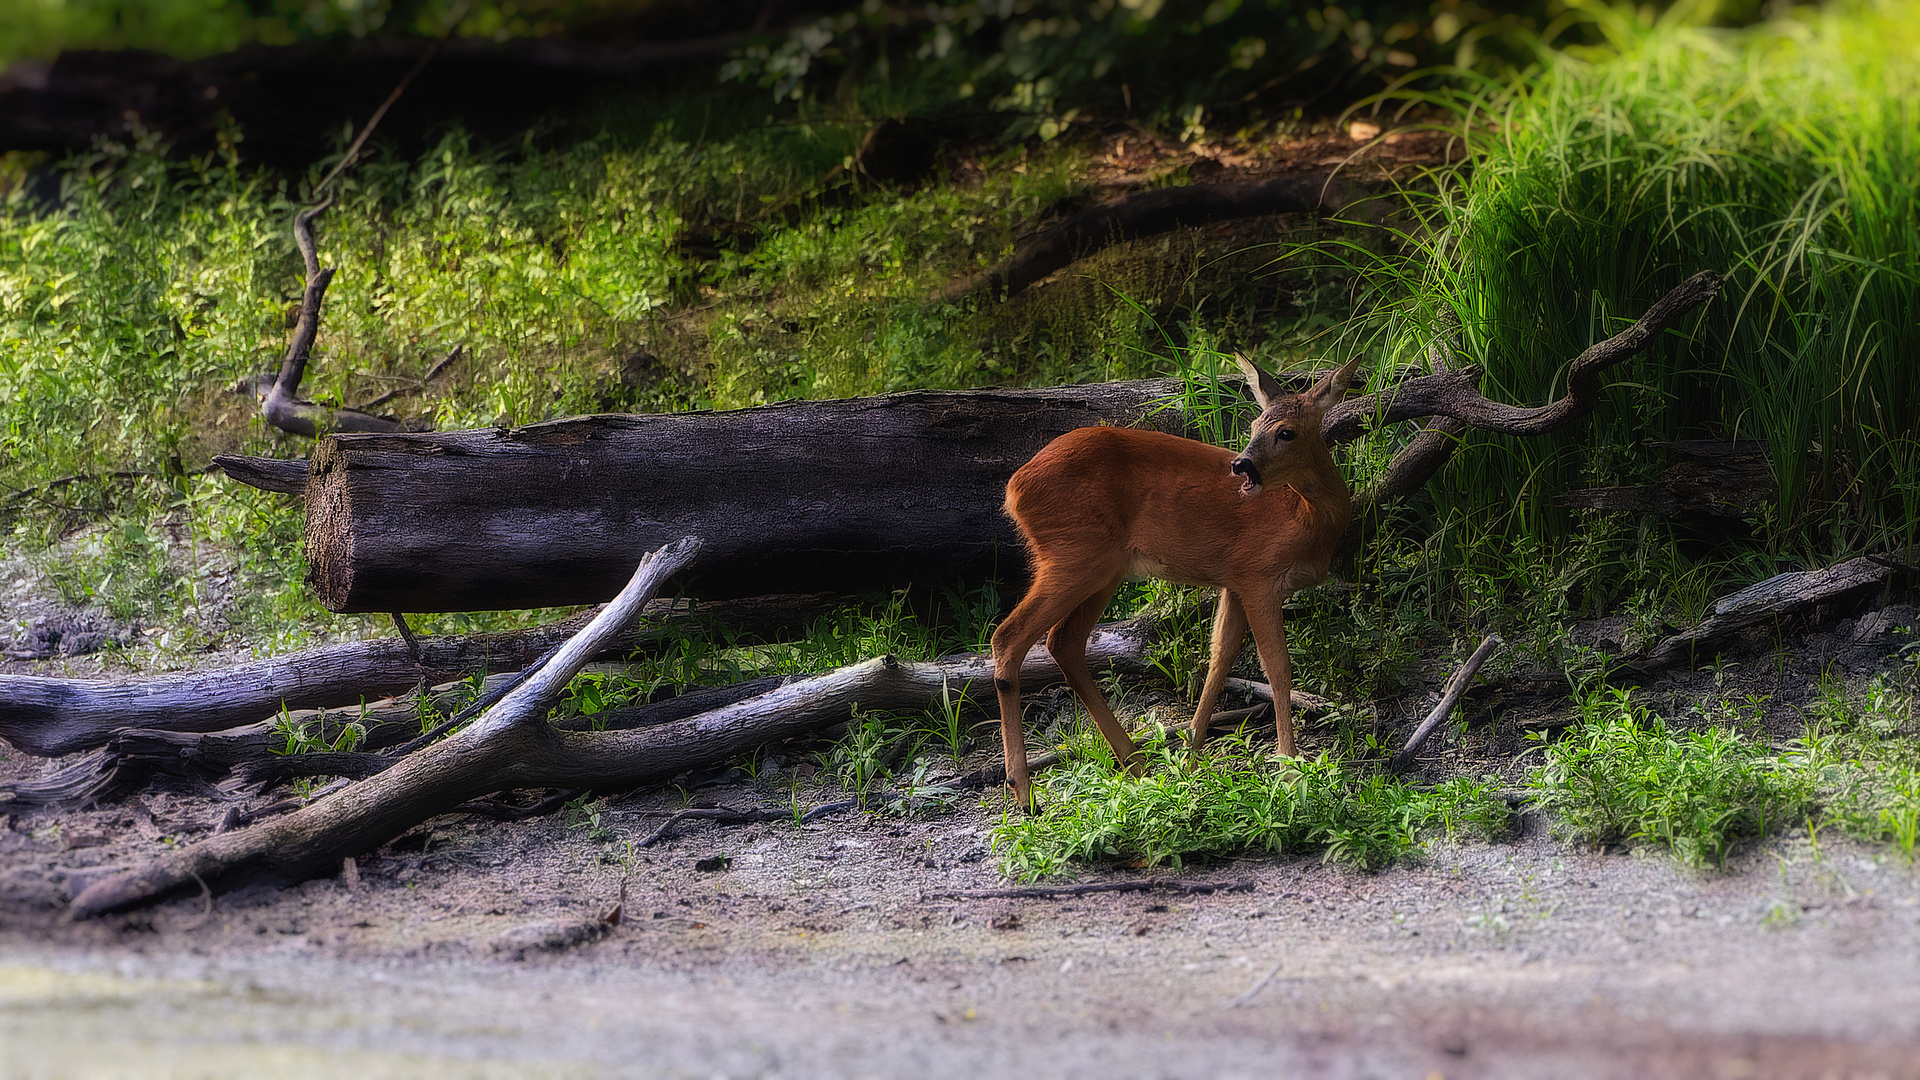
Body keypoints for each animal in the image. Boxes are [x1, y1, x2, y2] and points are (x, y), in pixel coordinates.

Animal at [998, 357, 1359, 803]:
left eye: (1286, 431)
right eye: (1254, 425)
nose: (1241, 464)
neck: (1306, 517)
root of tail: (1013, 489)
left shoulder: (1234, 581)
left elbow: (1218, 659)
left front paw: (1190, 761)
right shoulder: (1259, 574)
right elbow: (1277, 667)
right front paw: (1291, 770)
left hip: (1101, 566)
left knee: (1062, 642)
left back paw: (1135, 764)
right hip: (1073, 554)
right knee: (1009, 637)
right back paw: (1023, 789)